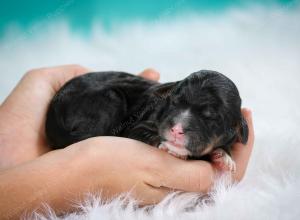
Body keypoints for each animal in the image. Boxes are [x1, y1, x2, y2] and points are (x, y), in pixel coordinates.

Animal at [45, 70, 247, 172]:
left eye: (210, 117)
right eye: (173, 103)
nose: (176, 130)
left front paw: (224, 157)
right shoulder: (136, 126)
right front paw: (166, 146)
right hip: (111, 98)